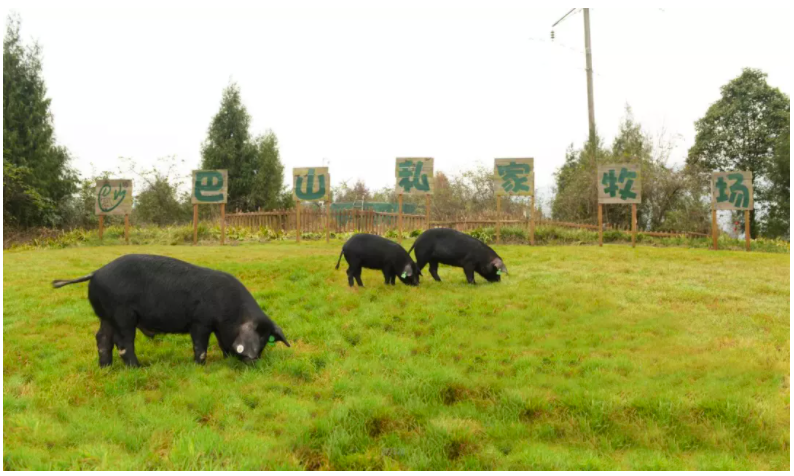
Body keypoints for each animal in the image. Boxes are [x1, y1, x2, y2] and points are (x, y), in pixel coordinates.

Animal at [52, 254, 290, 367]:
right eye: (258, 336)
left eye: (267, 339)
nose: (254, 359)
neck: (231, 310)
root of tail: (95, 272)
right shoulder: (200, 322)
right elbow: (200, 346)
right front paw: (199, 365)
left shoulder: (218, 327)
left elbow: (223, 342)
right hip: (122, 315)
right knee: (123, 342)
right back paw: (139, 368)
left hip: (106, 316)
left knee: (102, 338)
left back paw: (105, 368)